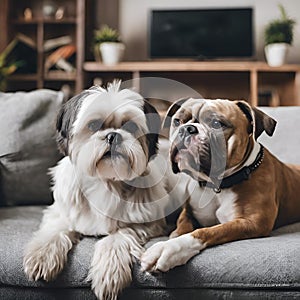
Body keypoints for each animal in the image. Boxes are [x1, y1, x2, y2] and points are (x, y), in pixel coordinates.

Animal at [141, 98, 300, 272]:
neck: (217, 186)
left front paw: (170, 248)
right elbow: (182, 226)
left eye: (217, 124)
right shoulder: (188, 212)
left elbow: (207, 231)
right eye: (177, 121)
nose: (187, 129)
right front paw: (173, 237)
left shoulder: (252, 223)